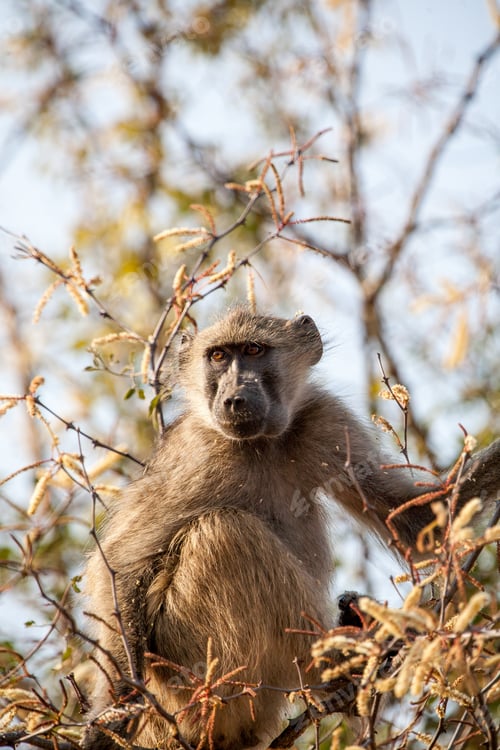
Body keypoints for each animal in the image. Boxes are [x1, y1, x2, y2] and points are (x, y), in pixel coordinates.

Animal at [82, 307, 498, 750]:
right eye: (218, 356)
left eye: (253, 350)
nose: (234, 398)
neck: (259, 444)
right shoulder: (198, 456)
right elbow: (122, 562)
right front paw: (115, 710)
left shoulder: (326, 420)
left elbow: (419, 524)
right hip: (187, 680)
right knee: (226, 531)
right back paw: (339, 660)